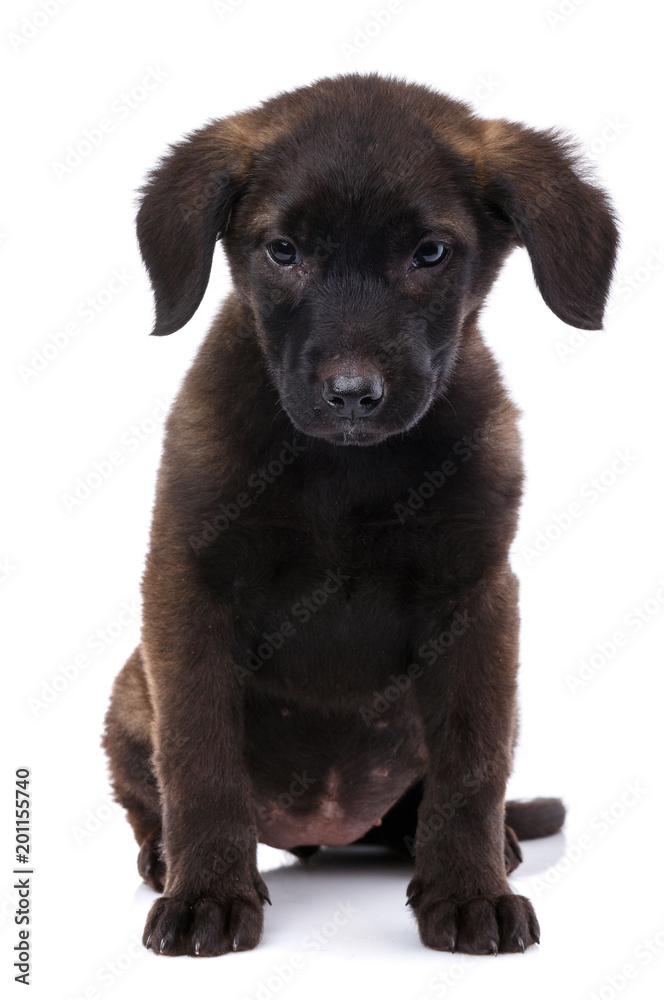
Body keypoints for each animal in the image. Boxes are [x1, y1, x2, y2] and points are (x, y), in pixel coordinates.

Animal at [104, 74, 616, 956]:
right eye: (283, 251)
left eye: (430, 253)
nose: (351, 394)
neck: (345, 475)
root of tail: (326, 829)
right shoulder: (189, 585)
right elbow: (200, 759)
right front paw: (206, 892)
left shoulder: (477, 599)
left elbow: (471, 769)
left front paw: (469, 891)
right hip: (131, 694)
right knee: (151, 793)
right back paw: (164, 855)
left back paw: (490, 844)